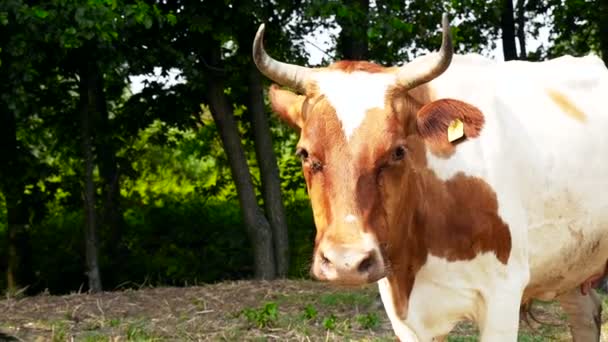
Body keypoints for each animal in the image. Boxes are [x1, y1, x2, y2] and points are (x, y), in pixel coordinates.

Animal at [252, 14, 608, 342]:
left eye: (398, 151)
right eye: (304, 154)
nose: (346, 262)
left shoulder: (503, 295)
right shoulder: (400, 308)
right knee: (585, 314)